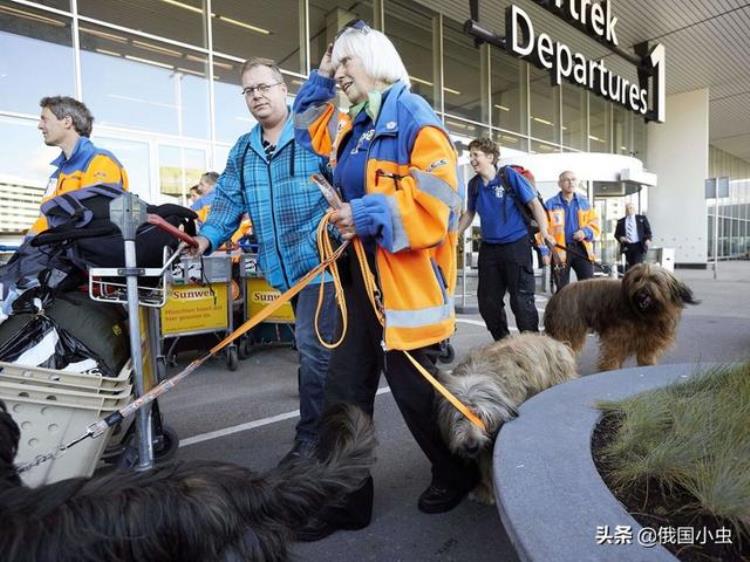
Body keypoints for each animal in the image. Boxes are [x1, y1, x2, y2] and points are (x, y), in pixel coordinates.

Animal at [548, 264, 700, 372]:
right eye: (637, 279)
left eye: (654, 280)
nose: (642, 294)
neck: (646, 315)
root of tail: (557, 295)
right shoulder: (617, 335)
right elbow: (612, 354)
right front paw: (610, 369)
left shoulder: (649, 340)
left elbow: (646, 356)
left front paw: (648, 365)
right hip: (569, 329)